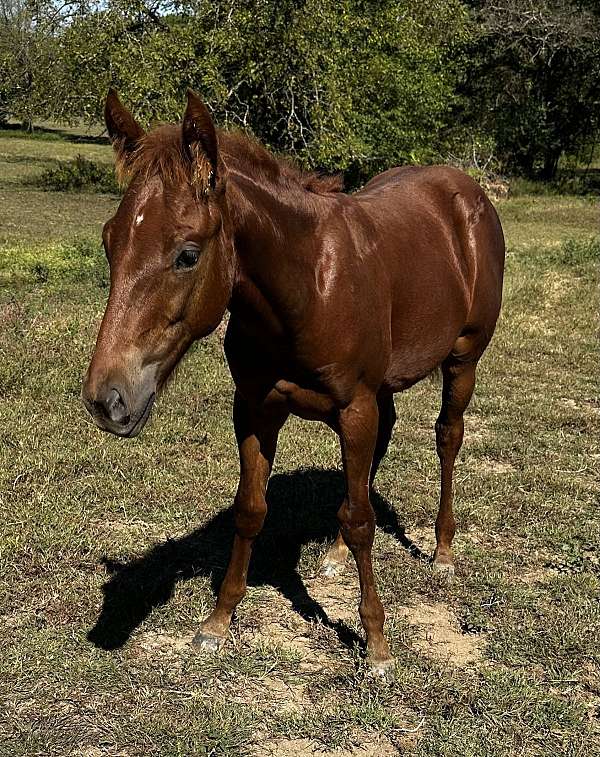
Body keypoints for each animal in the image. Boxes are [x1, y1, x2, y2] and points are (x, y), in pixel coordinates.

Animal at [82, 89, 505, 677]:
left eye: (187, 254)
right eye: (109, 241)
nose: (107, 399)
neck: (307, 285)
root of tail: (470, 193)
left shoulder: (354, 407)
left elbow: (362, 520)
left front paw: (376, 643)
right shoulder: (256, 408)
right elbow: (252, 509)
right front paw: (218, 622)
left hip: (462, 360)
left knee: (447, 436)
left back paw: (441, 549)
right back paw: (333, 554)